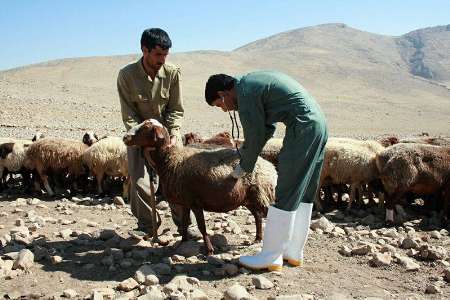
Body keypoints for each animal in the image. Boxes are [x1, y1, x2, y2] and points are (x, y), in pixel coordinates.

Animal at [124, 118, 278, 254]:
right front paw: (183, 242)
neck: (170, 159)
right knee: (257, 216)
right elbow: (184, 223)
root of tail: (270, 167)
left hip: (262, 194)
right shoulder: (185, 202)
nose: (125, 137)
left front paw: (209, 250)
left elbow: (202, 227)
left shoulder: (195, 202)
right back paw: (258, 238)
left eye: (145, 128)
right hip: (249, 199)